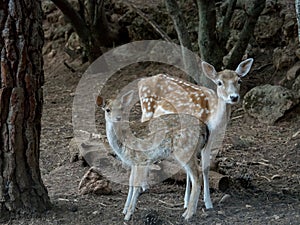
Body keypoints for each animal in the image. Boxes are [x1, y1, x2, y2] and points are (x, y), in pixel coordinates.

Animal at [96, 91, 209, 220]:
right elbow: (130, 182)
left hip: (185, 150)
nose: (118, 118)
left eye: (121, 108)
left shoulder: (141, 159)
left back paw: (188, 214)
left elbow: (137, 184)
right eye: (108, 110)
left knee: (197, 175)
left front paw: (129, 214)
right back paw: (189, 211)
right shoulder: (134, 162)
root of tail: (204, 128)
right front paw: (124, 210)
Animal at [138, 58, 253, 213]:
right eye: (219, 82)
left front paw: (206, 203)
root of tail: (141, 82)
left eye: (239, 81)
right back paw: (143, 185)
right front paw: (189, 202)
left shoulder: (210, 138)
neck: (212, 118)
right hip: (147, 110)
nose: (234, 97)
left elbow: (204, 167)